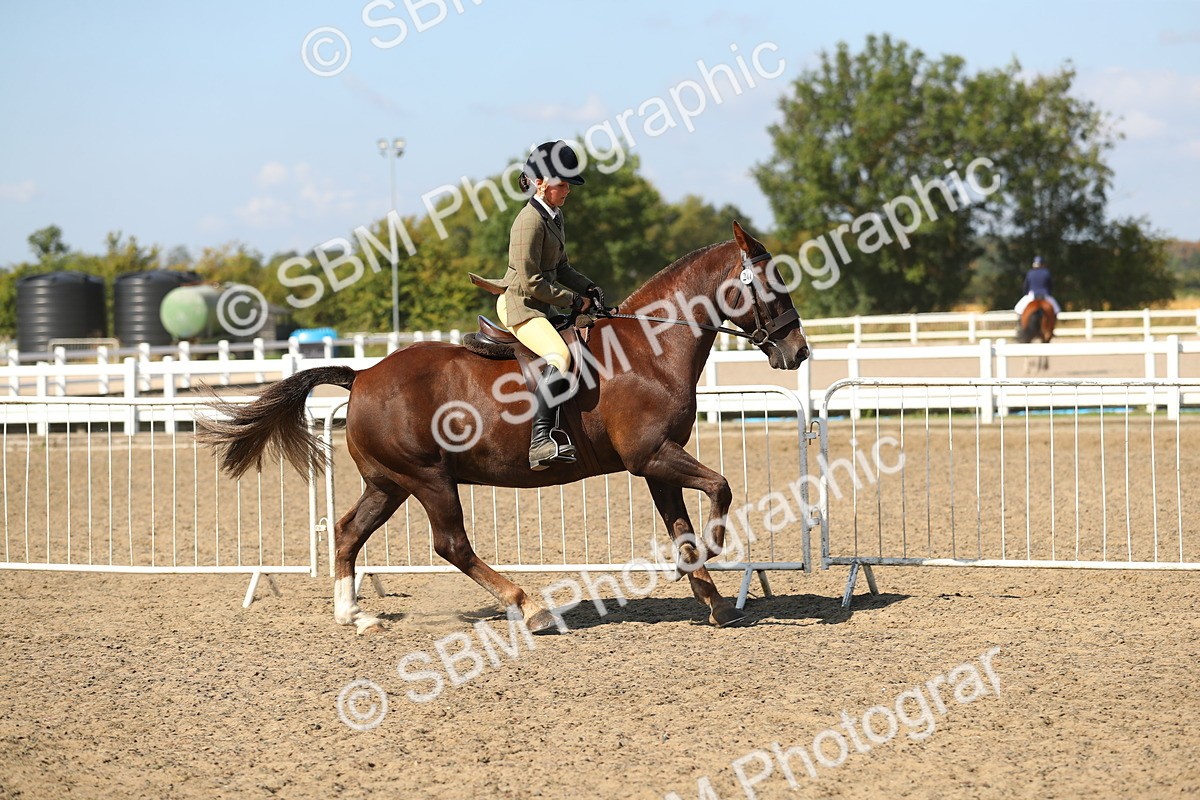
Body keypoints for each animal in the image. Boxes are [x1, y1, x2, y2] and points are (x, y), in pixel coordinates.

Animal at [197, 222, 809, 633]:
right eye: (772, 282)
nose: (798, 352)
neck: (648, 348)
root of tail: (362, 374)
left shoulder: (657, 462)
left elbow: (682, 524)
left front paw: (709, 595)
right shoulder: (652, 454)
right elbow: (720, 488)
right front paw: (713, 552)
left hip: (389, 483)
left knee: (350, 532)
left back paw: (355, 617)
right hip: (428, 480)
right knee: (451, 544)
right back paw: (529, 607)